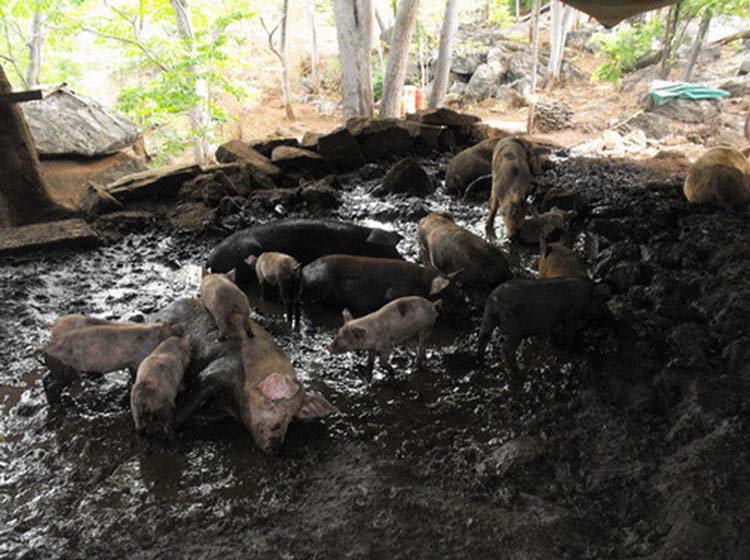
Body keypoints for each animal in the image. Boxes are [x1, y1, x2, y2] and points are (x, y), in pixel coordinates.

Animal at [156, 300, 338, 452]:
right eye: (274, 405)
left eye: (291, 418)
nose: (275, 448)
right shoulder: (219, 371)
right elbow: (194, 396)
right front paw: (168, 434)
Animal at [478, 276, 612, 378]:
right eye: (602, 301)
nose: (608, 313)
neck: (587, 295)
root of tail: (495, 300)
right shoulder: (572, 314)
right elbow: (569, 333)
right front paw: (579, 350)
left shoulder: (556, 320)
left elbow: (555, 332)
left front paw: (556, 344)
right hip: (515, 329)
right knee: (507, 349)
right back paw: (519, 373)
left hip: (487, 318)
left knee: (482, 338)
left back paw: (481, 363)